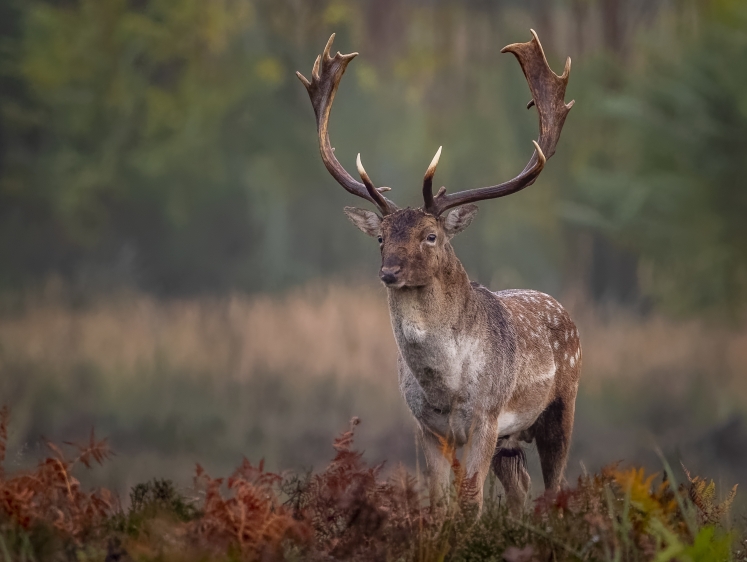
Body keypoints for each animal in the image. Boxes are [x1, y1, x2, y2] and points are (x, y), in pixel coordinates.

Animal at [296, 30, 580, 512]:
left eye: (431, 236)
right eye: (380, 237)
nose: (389, 271)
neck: (446, 389)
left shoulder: (487, 415)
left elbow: (470, 498)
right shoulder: (426, 425)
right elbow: (438, 499)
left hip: (561, 406)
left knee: (553, 488)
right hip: (512, 440)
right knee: (520, 488)